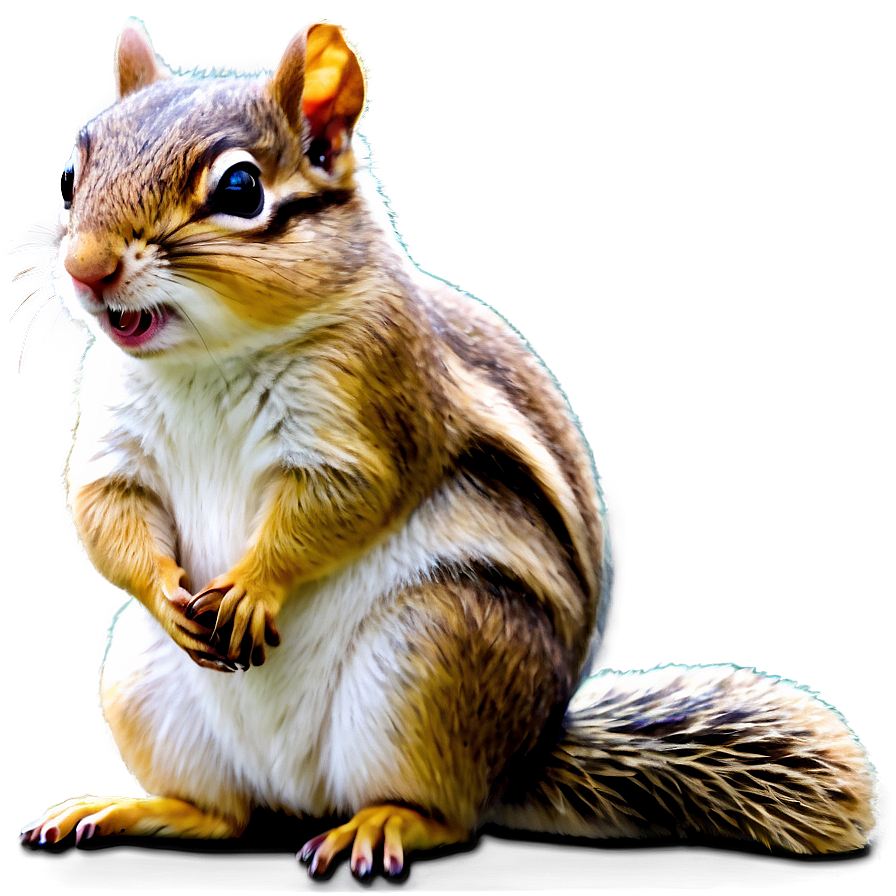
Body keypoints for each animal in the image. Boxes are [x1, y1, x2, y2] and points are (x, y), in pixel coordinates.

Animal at [20, 17, 878, 883]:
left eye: (239, 191)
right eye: (71, 174)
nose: (86, 269)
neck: (210, 360)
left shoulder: (372, 410)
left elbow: (340, 503)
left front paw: (255, 585)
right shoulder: (113, 439)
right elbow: (105, 510)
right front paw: (166, 590)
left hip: (433, 653)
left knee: (449, 816)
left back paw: (383, 824)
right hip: (142, 677)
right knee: (224, 817)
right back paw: (136, 810)